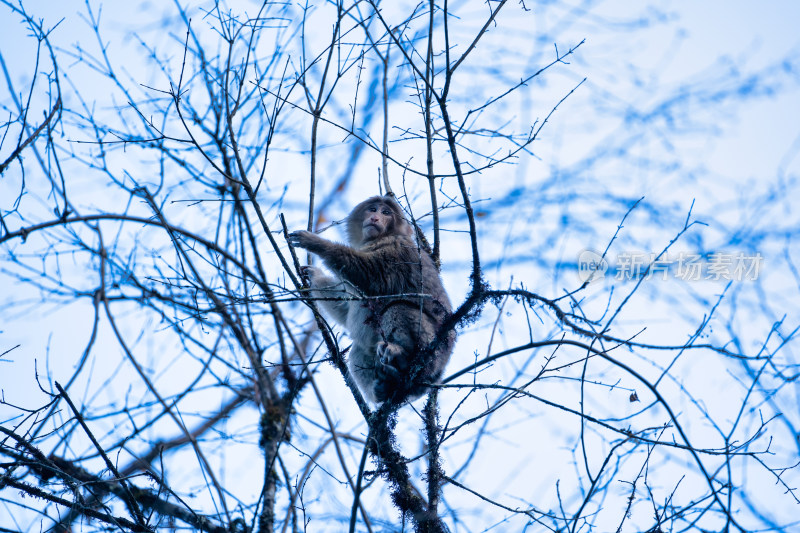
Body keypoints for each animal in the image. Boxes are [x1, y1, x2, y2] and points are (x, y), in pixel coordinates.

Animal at [288, 195, 454, 404]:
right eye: (373, 209)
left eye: (386, 213)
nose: (375, 218)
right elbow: (346, 306)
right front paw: (314, 275)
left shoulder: (397, 248)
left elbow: (372, 275)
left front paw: (315, 243)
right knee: (359, 350)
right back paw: (384, 388)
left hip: (435, 349)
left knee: (397, 308)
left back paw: (402, 355)